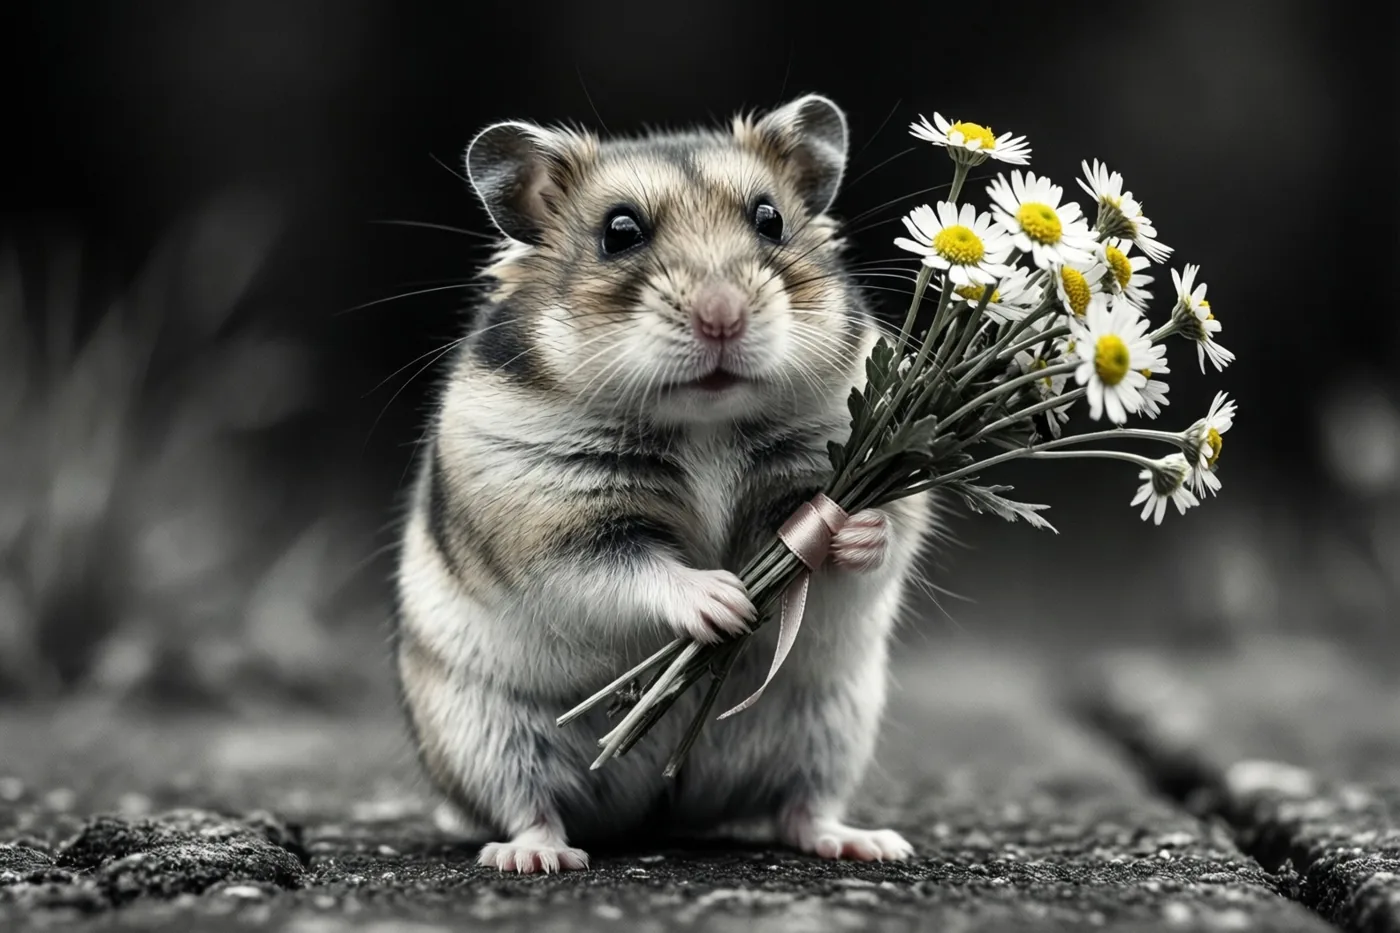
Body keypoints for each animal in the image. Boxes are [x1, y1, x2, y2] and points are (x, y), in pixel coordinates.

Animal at [391, 93, 934, 873]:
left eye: (770, 219)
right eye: (619, 232)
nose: (722, 316)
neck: (704, 422)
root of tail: (666, 806)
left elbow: (880, 534)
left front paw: (851, 530)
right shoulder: (547, 525)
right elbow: (628, 570)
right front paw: (729, 602)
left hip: (834, 722)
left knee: (802, 806)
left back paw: (870, 844)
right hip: (483, 732)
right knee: (528, 806)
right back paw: (535, 857)